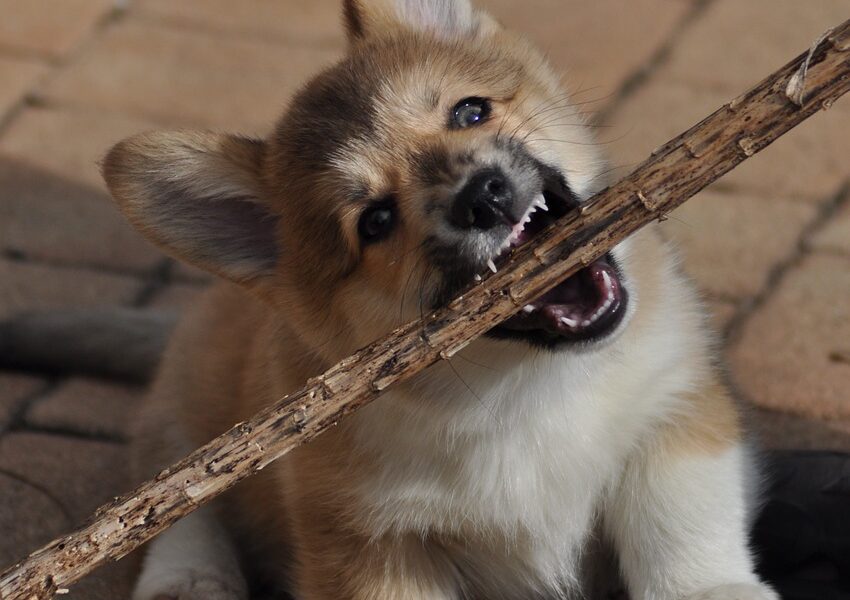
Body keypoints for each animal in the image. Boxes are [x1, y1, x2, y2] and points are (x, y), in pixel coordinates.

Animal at [99, 1, 776, 600]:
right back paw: (188, 583)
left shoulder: (672, 410)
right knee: (182, 517)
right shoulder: (374, 539)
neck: (525, 385)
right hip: (181, 419)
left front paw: (712, 590)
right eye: (375, 222)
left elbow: (680, 523)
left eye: (470, 111)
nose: (483, 195)